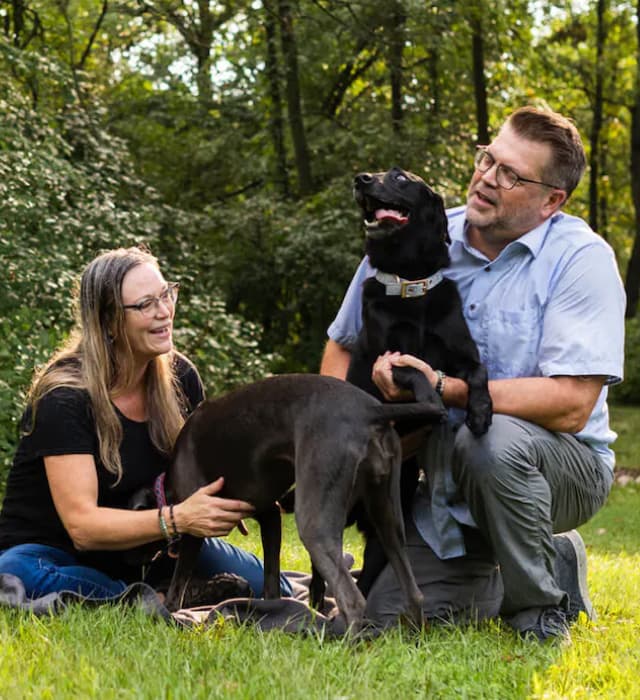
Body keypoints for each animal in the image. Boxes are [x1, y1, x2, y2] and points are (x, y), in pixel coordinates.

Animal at [159, 374, 444, 632]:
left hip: (314, 523)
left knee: (353, 600)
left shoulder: (197, 525)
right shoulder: (271, 515)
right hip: (386, 515)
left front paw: (169, 616)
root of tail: (371, 410)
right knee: (414, 593)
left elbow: (178, 584)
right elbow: (271, 582)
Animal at [348, 167, 492, 592]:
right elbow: (414, 369)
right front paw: (433, 402)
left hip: (387, 525)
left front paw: (480, 412)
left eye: (399, 177)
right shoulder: (384, 362)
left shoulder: (463, 355)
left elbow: (479, 371)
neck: (411, 288)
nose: (361, 178)